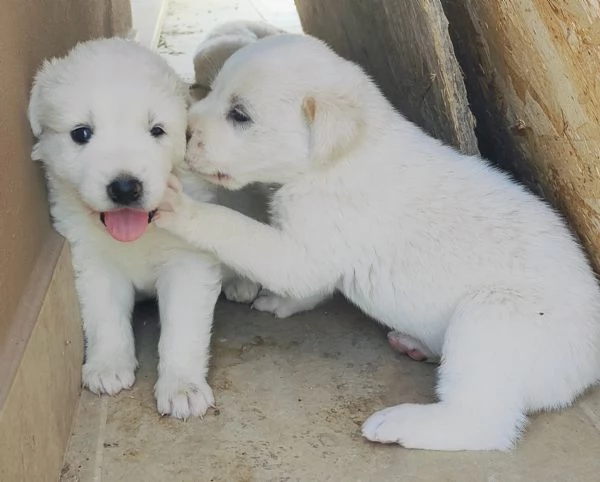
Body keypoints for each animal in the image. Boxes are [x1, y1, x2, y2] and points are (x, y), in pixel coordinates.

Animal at [154, 34, 600, 452]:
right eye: (212, 91)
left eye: (240, 115)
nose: (185, 132)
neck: (336, 158)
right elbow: (309, 288)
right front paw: (281, 303)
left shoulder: (302, 251)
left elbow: (232, 227)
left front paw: (179, 207)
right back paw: (416, 345)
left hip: (491, 318)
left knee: (482, 421)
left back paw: (402, 423)